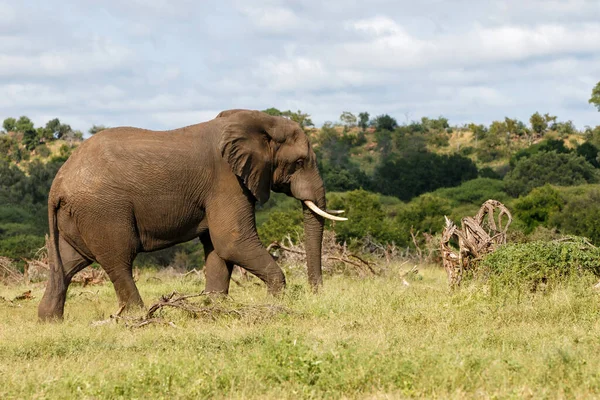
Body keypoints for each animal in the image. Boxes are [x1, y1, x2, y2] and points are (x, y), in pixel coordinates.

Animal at [37, 108, 346, 320]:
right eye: (300, 162)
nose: (315, 293)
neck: (259, 120)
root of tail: (58, 182)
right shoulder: (226, 180)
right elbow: (232, 241)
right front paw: (275, 302)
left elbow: (217, 250)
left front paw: (213, 306)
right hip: (103, 210)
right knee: (118, 261)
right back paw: (138, 316)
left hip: (78, 215)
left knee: (68, 264)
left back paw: (49, 320)